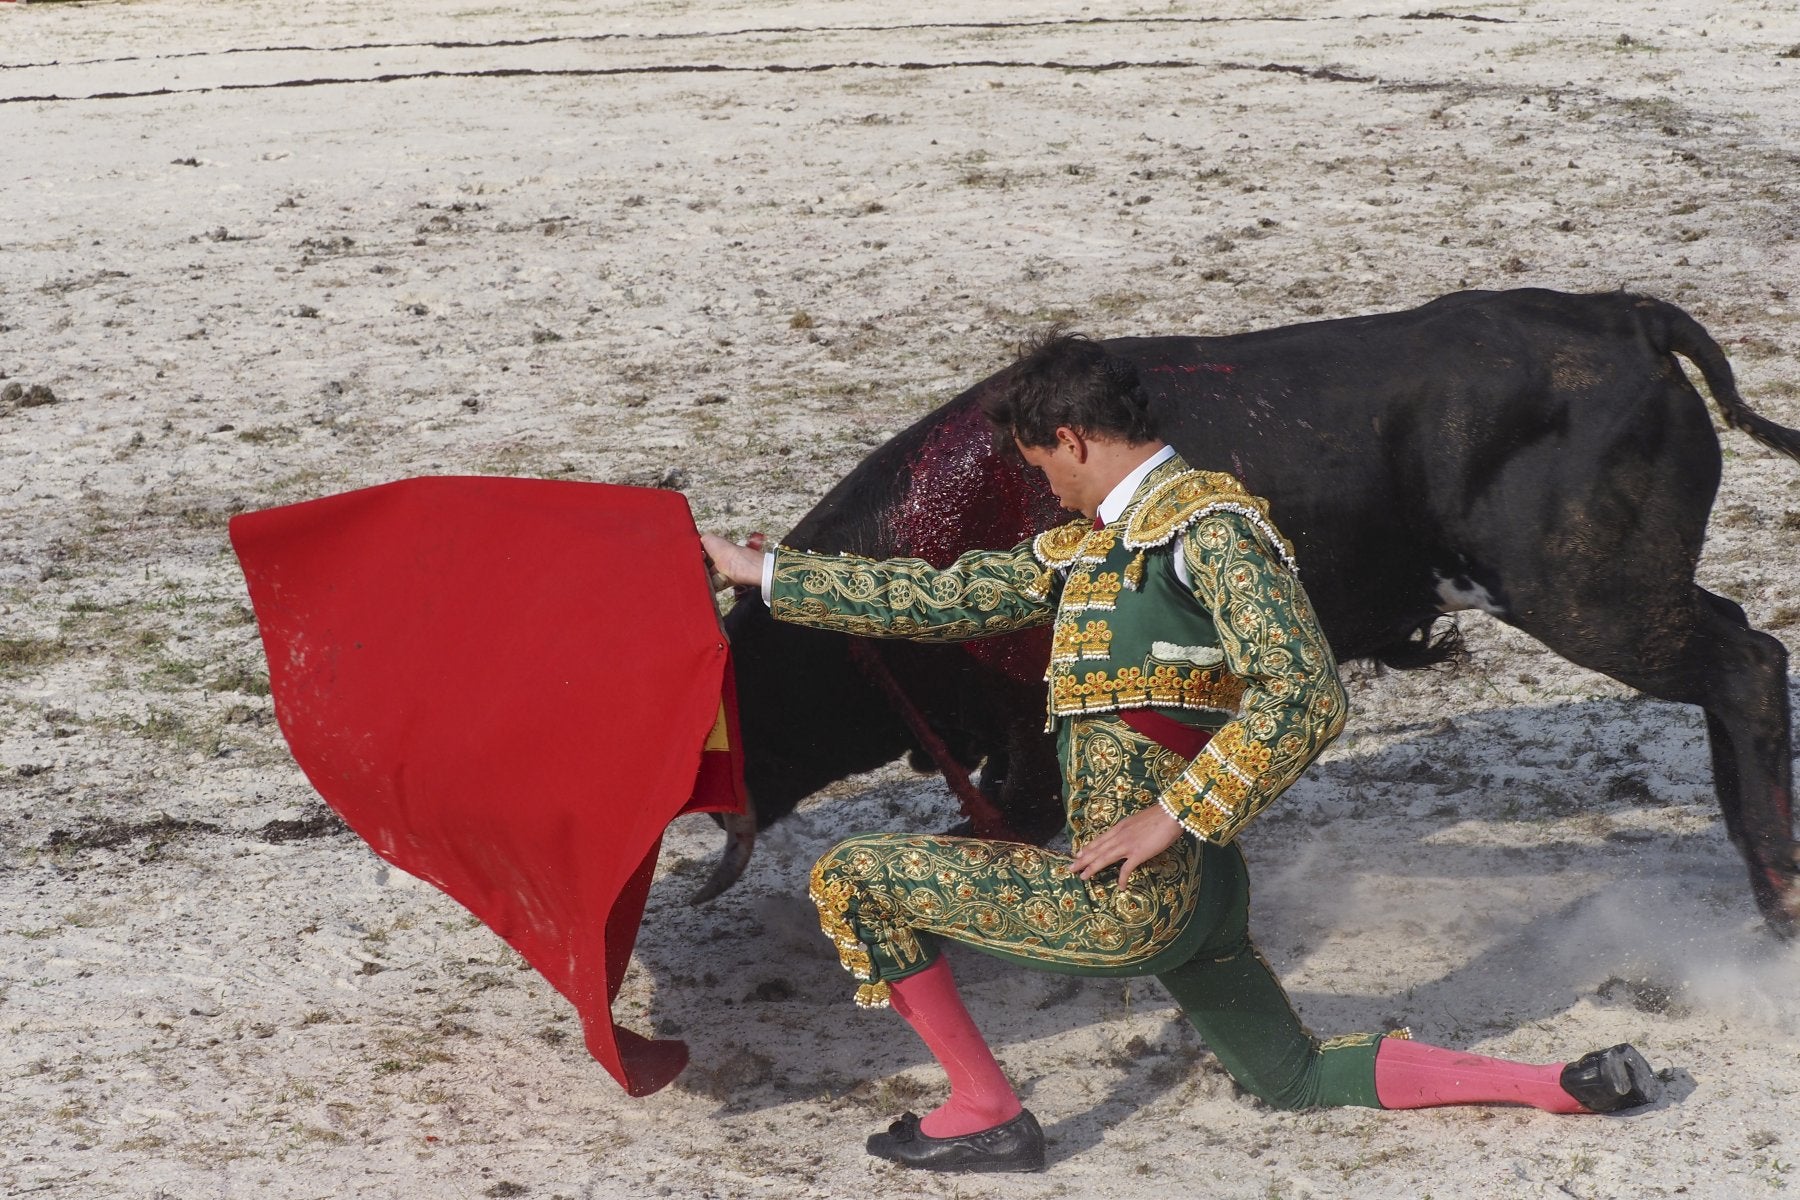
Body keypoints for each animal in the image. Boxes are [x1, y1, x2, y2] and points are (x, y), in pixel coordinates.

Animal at [698, 291, 1800, 935]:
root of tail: (1629, 317)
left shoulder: (1029, 749)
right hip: (1629, 596)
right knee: (1736, 655)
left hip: (1589, 599)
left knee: (1745, 663)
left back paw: (1778, 894)